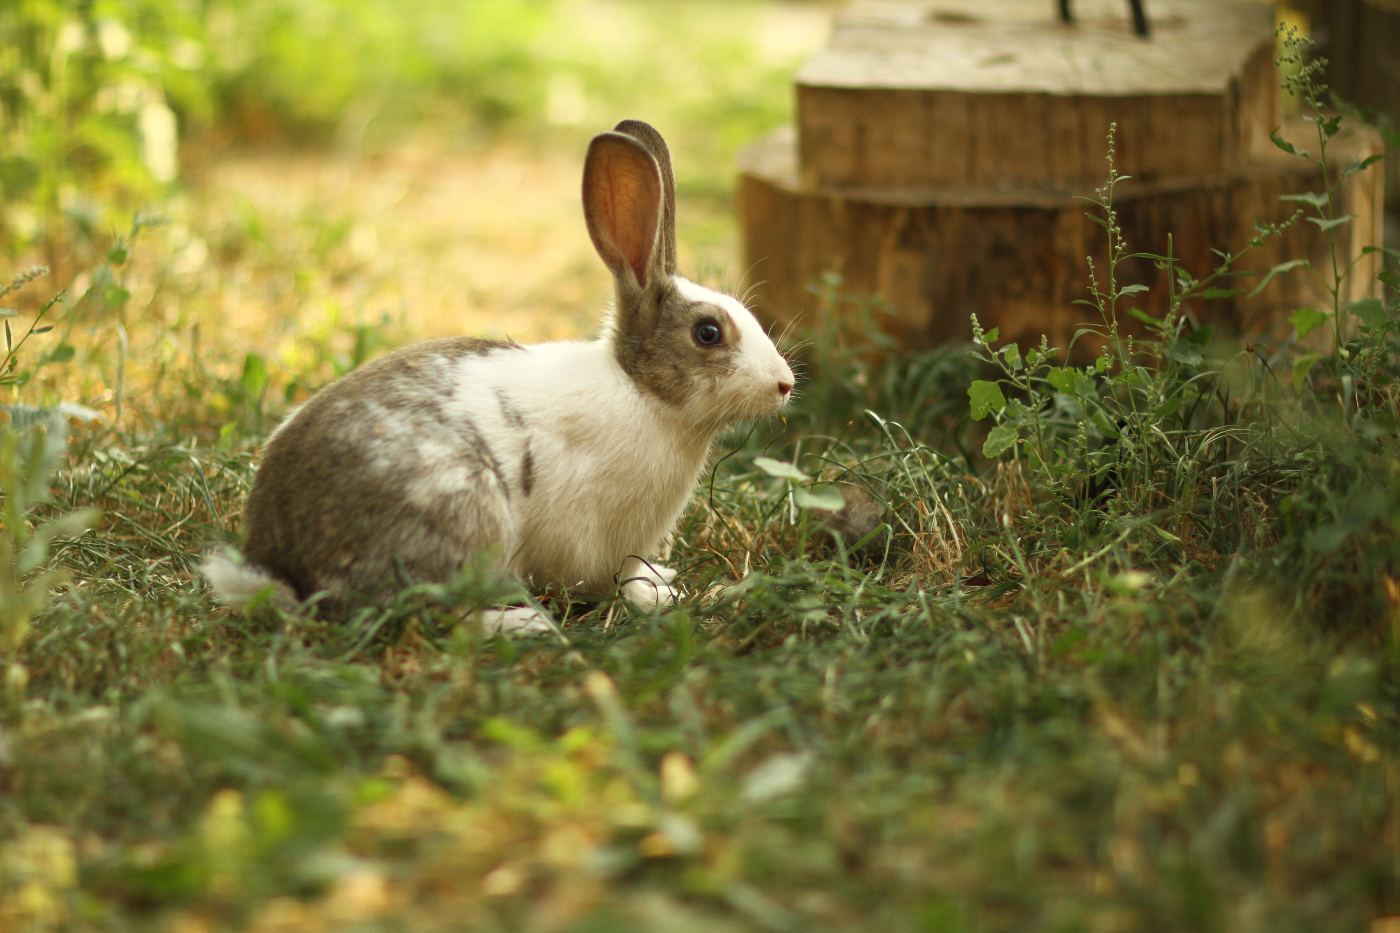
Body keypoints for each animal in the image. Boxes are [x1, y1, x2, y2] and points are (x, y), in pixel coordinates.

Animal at [202, 119, 796, 635]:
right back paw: (521, 623)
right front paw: (655, 597)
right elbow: (616, 581)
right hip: (464, 520)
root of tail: (283, 570)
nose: (785, 384)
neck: (642, 392)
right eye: (708, 333)